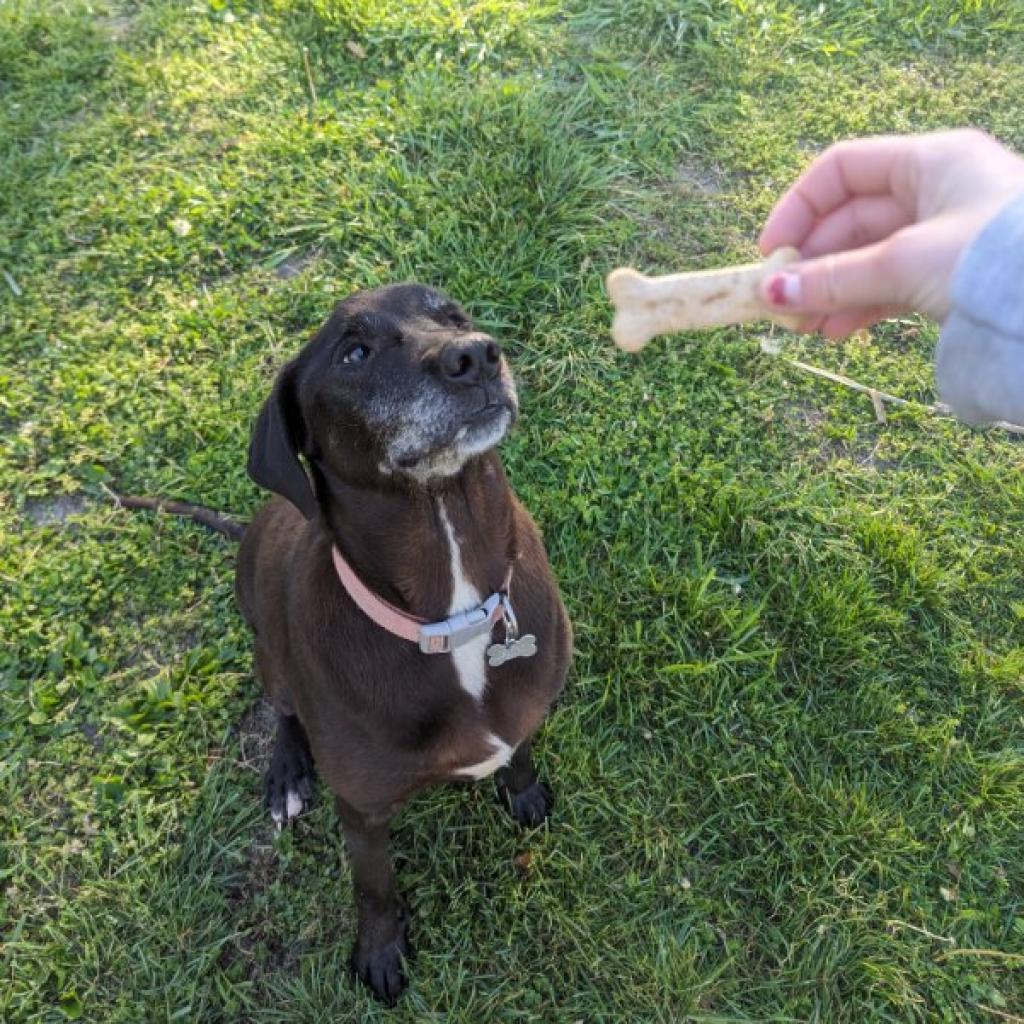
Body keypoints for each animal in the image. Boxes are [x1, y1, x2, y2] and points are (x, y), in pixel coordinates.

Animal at [234, 284, 577, 1003]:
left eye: (451, 314)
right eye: (354, 353)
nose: (476, 356)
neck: (455, 615)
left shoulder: (522, 713)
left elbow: (519, 750)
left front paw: (525, 793)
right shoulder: (361, 812)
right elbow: (374, 889)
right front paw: (380, 953)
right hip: (270, 655)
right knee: (282, 708)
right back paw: (286, 774)